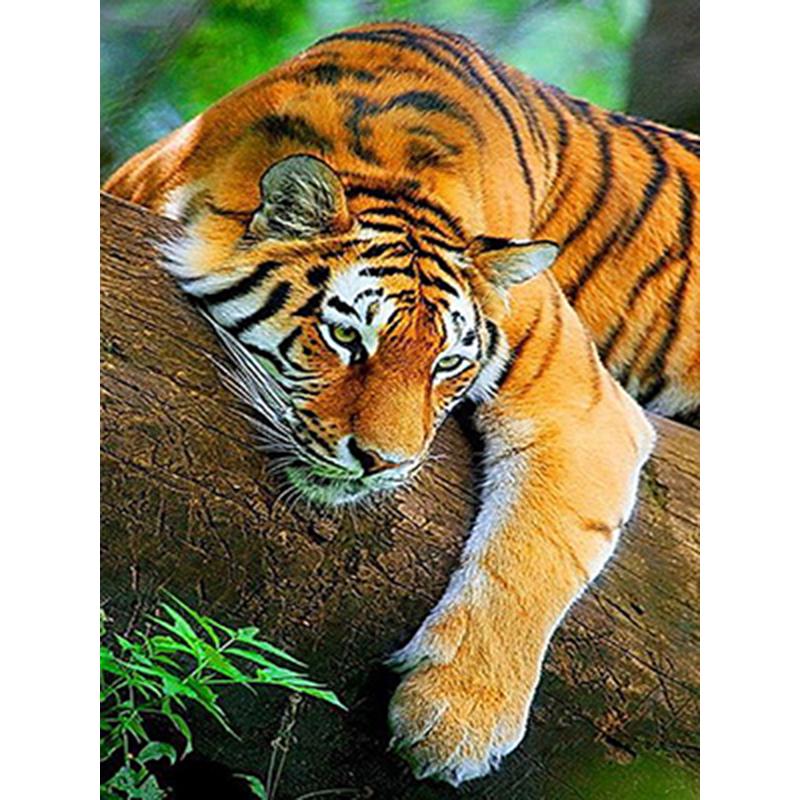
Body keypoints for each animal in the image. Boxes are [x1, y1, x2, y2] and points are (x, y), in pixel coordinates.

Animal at [104, 21, 698, 787]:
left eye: (447, 363)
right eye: (346, 337)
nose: (382, 463)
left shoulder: (583, 406)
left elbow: (533, 555)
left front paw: (458, 720)